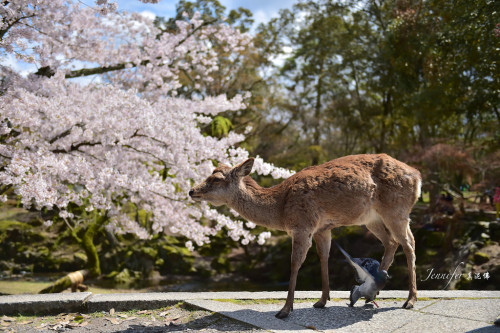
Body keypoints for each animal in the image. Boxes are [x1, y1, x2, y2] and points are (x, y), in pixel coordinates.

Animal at [189, 153, 420, 316]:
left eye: (216, 179)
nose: (192, 191)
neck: (280, 209)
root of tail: (417, 177)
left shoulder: (302, 225)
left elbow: (294, 263)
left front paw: (284, 310)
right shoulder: (322, 228)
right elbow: (324, 257)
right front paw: (321, 301)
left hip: (396, 210)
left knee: (409, 243)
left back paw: (410, 300)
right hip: (371, 219)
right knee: (391, 242)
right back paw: (372, 293)